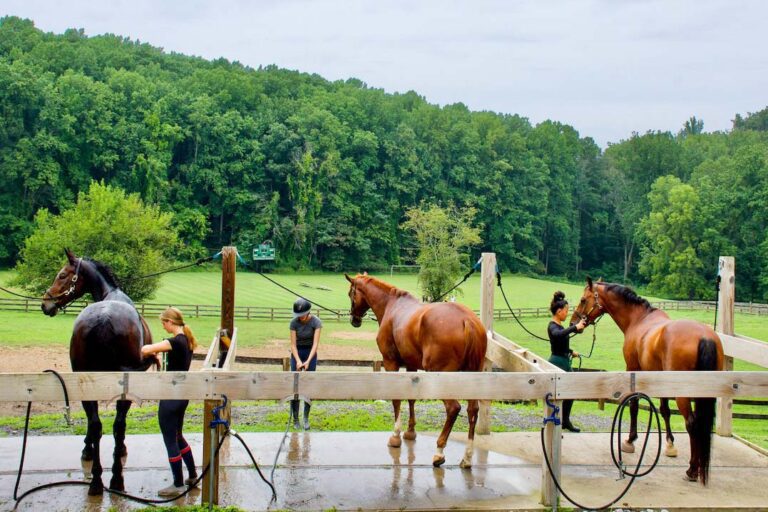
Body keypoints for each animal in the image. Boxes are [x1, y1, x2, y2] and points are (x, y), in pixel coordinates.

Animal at [41, 249, 157, 495]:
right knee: (114, 425)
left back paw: (98, 480)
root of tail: (103, 319)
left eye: (62, 275)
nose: (45, 303)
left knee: (100, 425)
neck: (110, 294)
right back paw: (113, 479)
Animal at [345, 273, 488, 468]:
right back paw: (467, 457)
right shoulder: (411, 365)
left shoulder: (390, 363)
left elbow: (397, 399)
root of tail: (467, 320)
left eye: (351, 293)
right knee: (472, 410)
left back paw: (439, 452)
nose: (354, 320)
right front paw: (410, 432)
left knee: (453, 408)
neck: (392, 305)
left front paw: (396, 436)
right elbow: (411, 398)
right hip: (471, 377)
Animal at [570, 277, 724, 484]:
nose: (574, 322)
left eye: (583, 299)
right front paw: (670, 445)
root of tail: (704, 337)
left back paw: (692, 470)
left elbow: (634, 404)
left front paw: (629, 440)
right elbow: (665, 410)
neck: (638, 319)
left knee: (692, 424)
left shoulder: (633, 369)